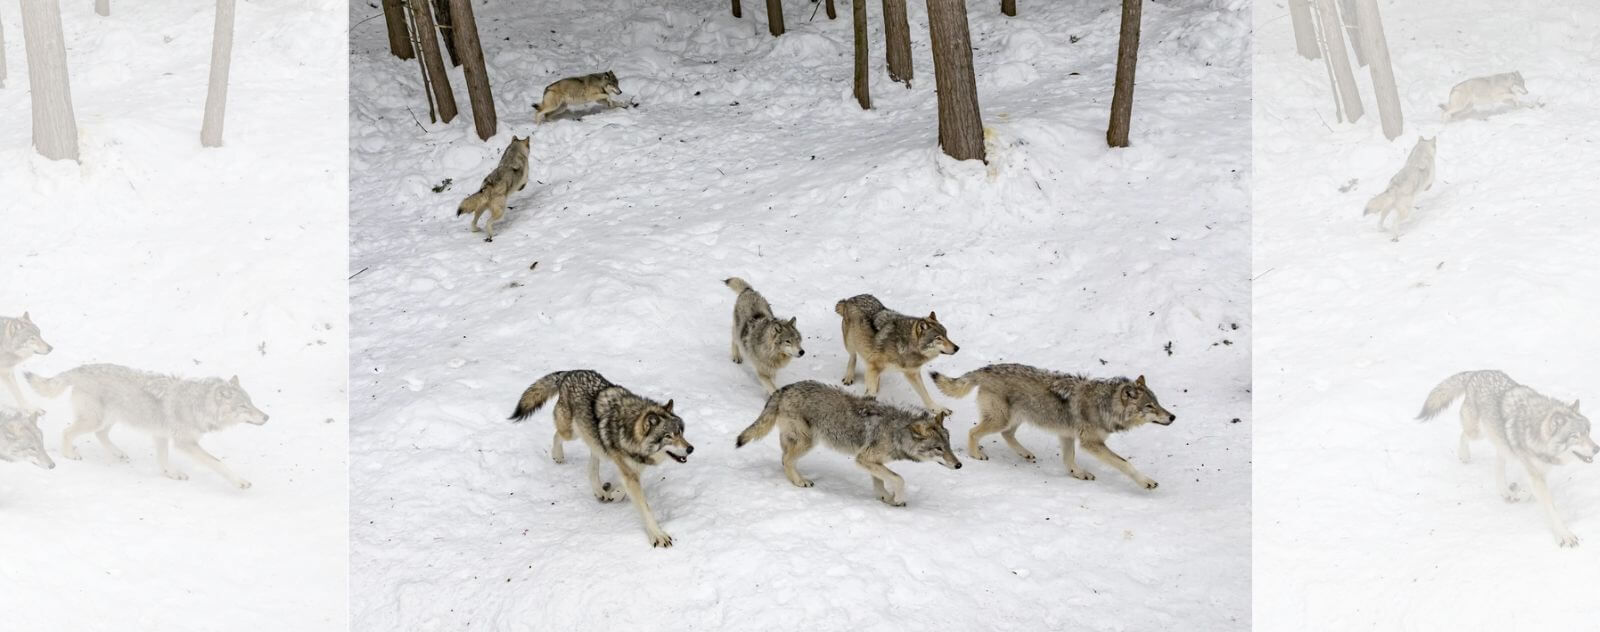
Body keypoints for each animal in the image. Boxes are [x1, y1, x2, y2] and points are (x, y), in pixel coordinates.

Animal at [24, 363, 268, 492]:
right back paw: (70, 454)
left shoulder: (161, 436)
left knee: (100, 435)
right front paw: (241, 481)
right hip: (96, 419)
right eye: (244, 406)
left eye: (252, 402)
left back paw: (118, 453)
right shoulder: (184, 443)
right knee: (68, 432)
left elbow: (163, 460)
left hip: (109, 419)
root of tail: (79, 368)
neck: (198, 405)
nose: (266, 417)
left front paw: (171, 474)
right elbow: (217, 463)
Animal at [508, 371, 691, 550]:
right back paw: (558, 455)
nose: (691, 449)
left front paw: (615, 494)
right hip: (571, 433)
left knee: (592, 464)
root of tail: (569, 373)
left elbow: (624, 488)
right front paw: (658, 536)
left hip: (593, 441)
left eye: (681, 432)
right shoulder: (629, 471)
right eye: (668, 436)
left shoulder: (633, 468)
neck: (629, 431)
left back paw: (600, 491)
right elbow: (645, 508)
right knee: (557, 435)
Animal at [736, 380, 960, 508]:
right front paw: (896, 498)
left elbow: (880, 481)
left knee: (784, 458)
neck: (896, 431)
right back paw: (800, 482)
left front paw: (886, 498)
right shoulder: (864, 459)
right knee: (786, 459)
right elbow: (899, 479)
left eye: (949, 446)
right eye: (938, 448)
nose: (959, 465)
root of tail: (783, 389)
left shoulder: (871, 461)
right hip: (808, 442)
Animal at [928, 363, 1177, 492]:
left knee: (1007, 435)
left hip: (1015, 419)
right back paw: (976, 454)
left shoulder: (1067, 435)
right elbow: (1125, 464)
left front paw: (1078, 473)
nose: (1173, 417)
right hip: (1002, 419)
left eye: (1158, 403)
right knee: (973, 432)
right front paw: (1146, 481)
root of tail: (985, 368)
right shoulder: (1091, 443)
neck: (1105, 405)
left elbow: (1069, 460)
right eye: (1150, 406)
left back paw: (1025, 453)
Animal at [1420, 371, 1593, 550]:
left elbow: (1529, 490)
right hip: (1478, 433)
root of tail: (1476, 373)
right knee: (1464, 434)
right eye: (1575, 437)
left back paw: (1505, 491)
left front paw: (1521, 495)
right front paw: (1564, 535)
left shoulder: (1539, 469)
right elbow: (1550, 508)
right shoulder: (1535, 471)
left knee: (1498, 462)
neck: (1535, 431)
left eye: (1588, 432)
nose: (1597, 449)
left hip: (1500, 443)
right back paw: (1464, 455)